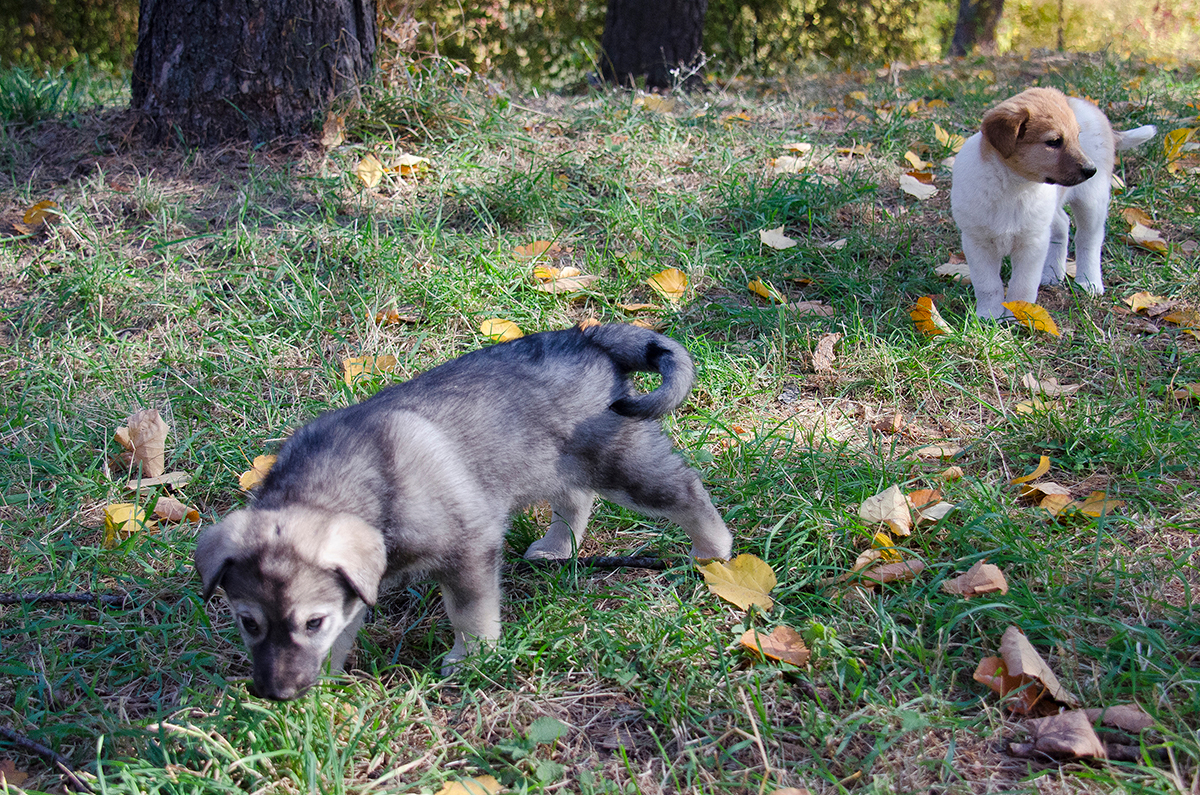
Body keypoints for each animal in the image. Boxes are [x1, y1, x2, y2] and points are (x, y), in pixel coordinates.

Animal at [196, 321, 729, 701]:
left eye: (312, 623)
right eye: (248, 623)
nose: (278, 695)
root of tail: (588, 337)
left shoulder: (469, 551)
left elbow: (469, 613)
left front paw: (471, 660)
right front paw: (325, 687)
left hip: (618, 460)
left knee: (683, 490)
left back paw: (714, 553)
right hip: (553, 463)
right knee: (576, 501)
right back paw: (558, 547)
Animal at [950, 88, 1156, 321]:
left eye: (1077, 137)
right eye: (1054, 142)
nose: (1090, 170)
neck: (1013, 187)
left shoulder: (1033, 243)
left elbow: (1022, 285)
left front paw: (1018, 315)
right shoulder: (977, 242)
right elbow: (988, 285)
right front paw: (989, 315)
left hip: (1092, 200)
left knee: (1089, 239)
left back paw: (1089, 281)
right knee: (1062, 225)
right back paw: (1052, 273)